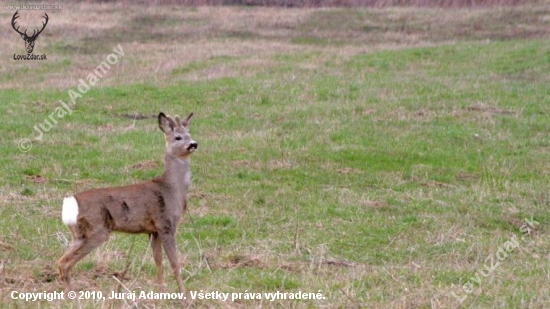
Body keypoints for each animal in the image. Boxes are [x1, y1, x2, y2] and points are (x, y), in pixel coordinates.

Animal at [58, 111, 199, 294]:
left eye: (189, 134)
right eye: (177, 137)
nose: (193, 144)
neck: (172, 188)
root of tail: (70, 202)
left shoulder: (153, 230)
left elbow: (158, 262)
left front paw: (160, 293)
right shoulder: (165, 225)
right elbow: (175, 264)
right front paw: (185, 296)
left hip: (78, 234)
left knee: (61, 261)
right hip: (97, 229)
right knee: (65, 263)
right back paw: (71, 296)